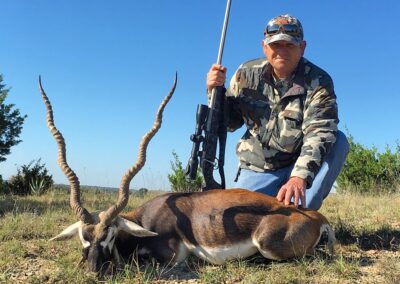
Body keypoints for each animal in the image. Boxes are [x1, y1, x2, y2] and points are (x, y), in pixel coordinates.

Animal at [39, 75, 334, 276]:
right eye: (83, 236)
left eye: (109, 235)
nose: (93, 271)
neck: (145, 220)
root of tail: (316, 217)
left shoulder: (170, 257)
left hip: (267, 244)